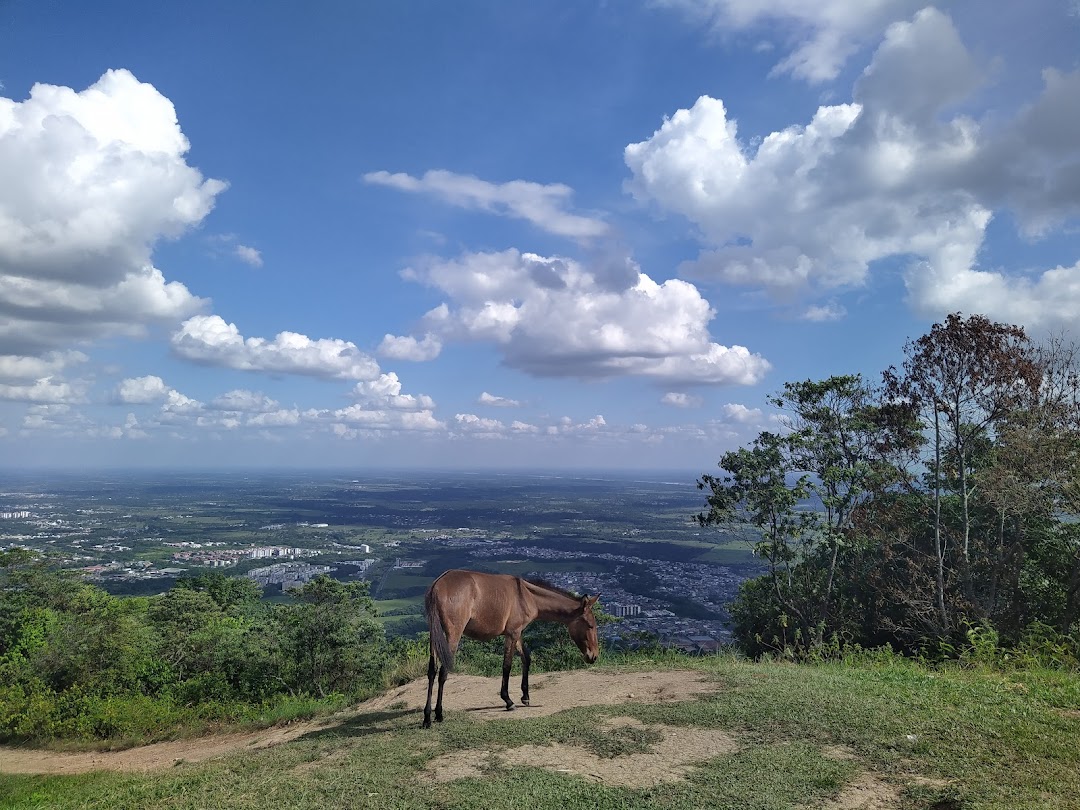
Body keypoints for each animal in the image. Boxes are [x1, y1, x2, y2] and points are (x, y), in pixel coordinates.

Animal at [423, 570, 600, 730]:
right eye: (590, 625)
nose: (594, 656)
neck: (527, 596)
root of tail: (437, 587)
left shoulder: (517, 633)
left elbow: (526, 658)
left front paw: (525, 697)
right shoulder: (512, 633)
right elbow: (507, 666)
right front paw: (508, 701)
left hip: (434, 636)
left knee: (432, 671)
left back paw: (427, 717)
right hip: (453, 634)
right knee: (443, 672)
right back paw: (439, 714)